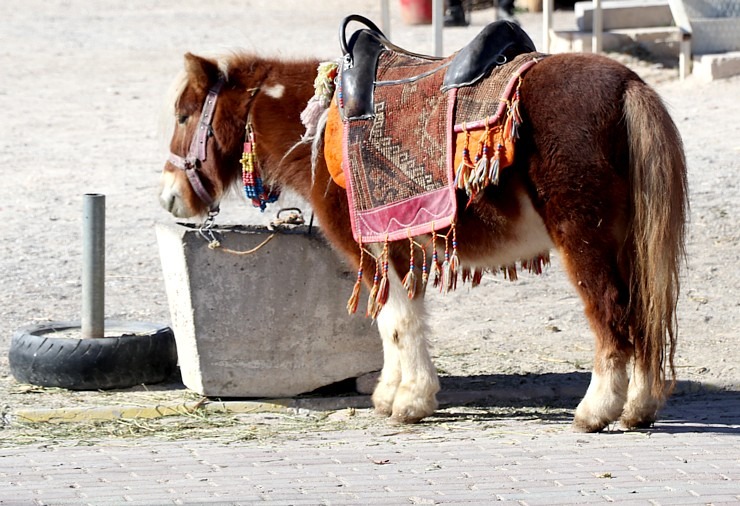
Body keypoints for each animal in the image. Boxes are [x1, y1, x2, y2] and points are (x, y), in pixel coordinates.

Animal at [159, 28, 684, 430]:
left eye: (184, 115)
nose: (169, 196)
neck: (319, 124)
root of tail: (626, 84)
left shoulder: (377, 247)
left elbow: (397, 321)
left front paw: (410, 401)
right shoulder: (394, 249)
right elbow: (393, 320)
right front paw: (392, 393)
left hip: (584, 241)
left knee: (611, 317)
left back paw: (596, 411)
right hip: (627, 245)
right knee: (641, 316)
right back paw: (638, 409)